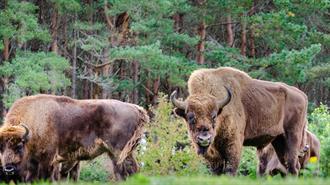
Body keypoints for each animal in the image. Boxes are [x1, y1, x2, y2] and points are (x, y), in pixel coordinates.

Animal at [0, 94, 148, 181]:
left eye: (19, 145)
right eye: (1, 147)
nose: (8, 168)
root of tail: (136, 108)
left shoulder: (48, 160)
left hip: (121, 151)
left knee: (132, 170)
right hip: (114, 154)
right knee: (120, 173)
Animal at [171, 66, 308, 175]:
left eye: (214, 116)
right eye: (190, 117)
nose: (204, 138)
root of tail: (302, 95)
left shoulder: (234, 143)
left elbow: (230, 169)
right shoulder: (213, 154)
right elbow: (217, 170)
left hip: (292, 136)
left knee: (293, 165)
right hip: (278, 140)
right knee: (288, 164)